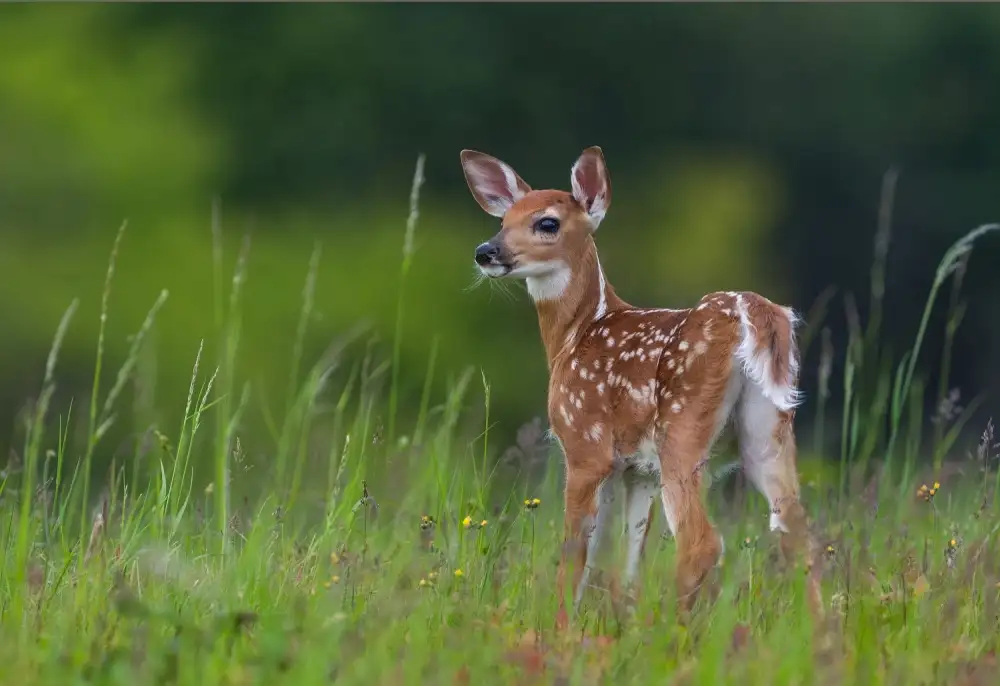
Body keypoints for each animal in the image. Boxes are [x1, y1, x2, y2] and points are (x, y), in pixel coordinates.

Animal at [460, 145, 823, 628]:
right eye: (503, 220)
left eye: (547, 223)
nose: (486, 251)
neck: (575, 335)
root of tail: (754, 314)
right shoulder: (637, 471)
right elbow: (628, 559)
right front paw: (622, 625)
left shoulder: (586, 445)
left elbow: (576, 554)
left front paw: (560, 630)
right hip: (768, 430)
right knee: (799, 534)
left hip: (682, 429)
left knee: (702, 542)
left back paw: (675, 632)